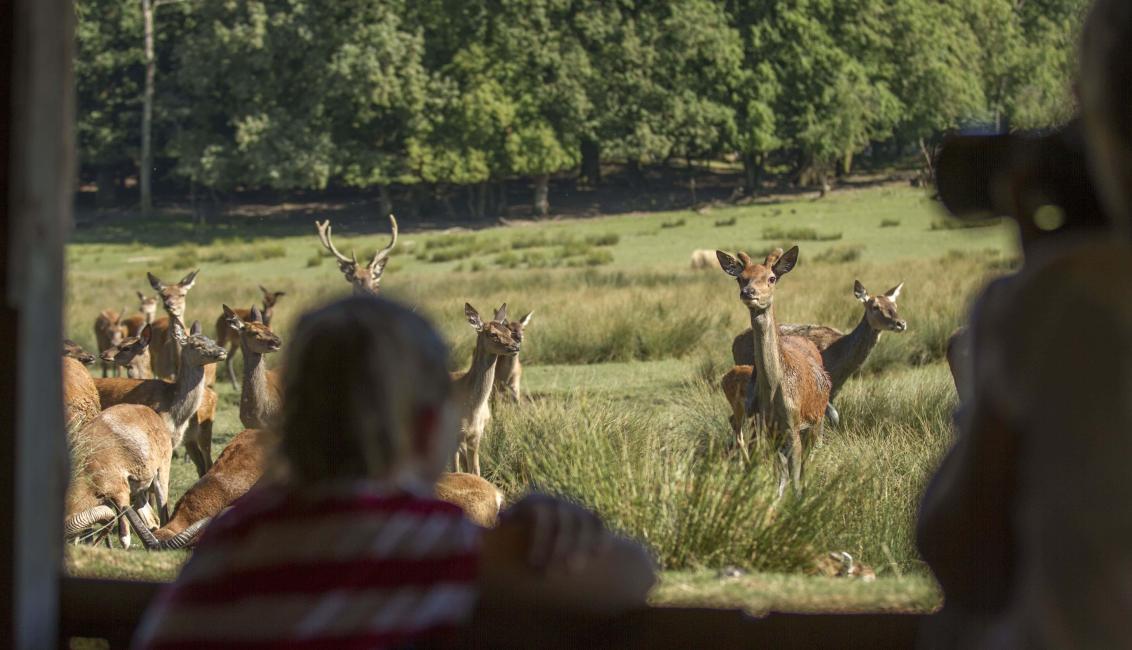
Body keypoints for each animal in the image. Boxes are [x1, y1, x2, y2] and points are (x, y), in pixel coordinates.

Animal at [64, 403, 172, 550]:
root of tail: (152, 415)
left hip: (160, 480)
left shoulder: (121, 496)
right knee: (152, 521)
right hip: (138, 497)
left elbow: (124, 539)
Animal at [450, 303, 520, 475]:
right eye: (492, 334)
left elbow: (475, 471)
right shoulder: (454, 435)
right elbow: (455, 471)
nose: (516, 346)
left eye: (508, 331)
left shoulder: (476, 435)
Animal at [715, 246, 833, 495]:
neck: (774, 393)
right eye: (741, 278)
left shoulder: (793, 425)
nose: (748, 292)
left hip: (818, 421)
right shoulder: (769, 428)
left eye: (771, 278)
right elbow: (781, 479)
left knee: (812, 456)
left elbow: (795, 480)